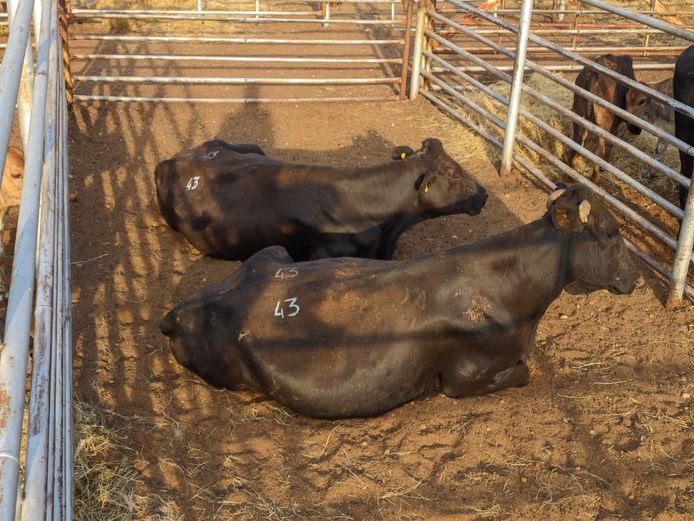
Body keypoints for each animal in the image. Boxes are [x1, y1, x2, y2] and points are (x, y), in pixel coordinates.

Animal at [160, 183, 639, 419]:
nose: (635, 275)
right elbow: (524, 373)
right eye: (610, 232)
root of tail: (178, 311)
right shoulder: (463, 377)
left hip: (269, 255)